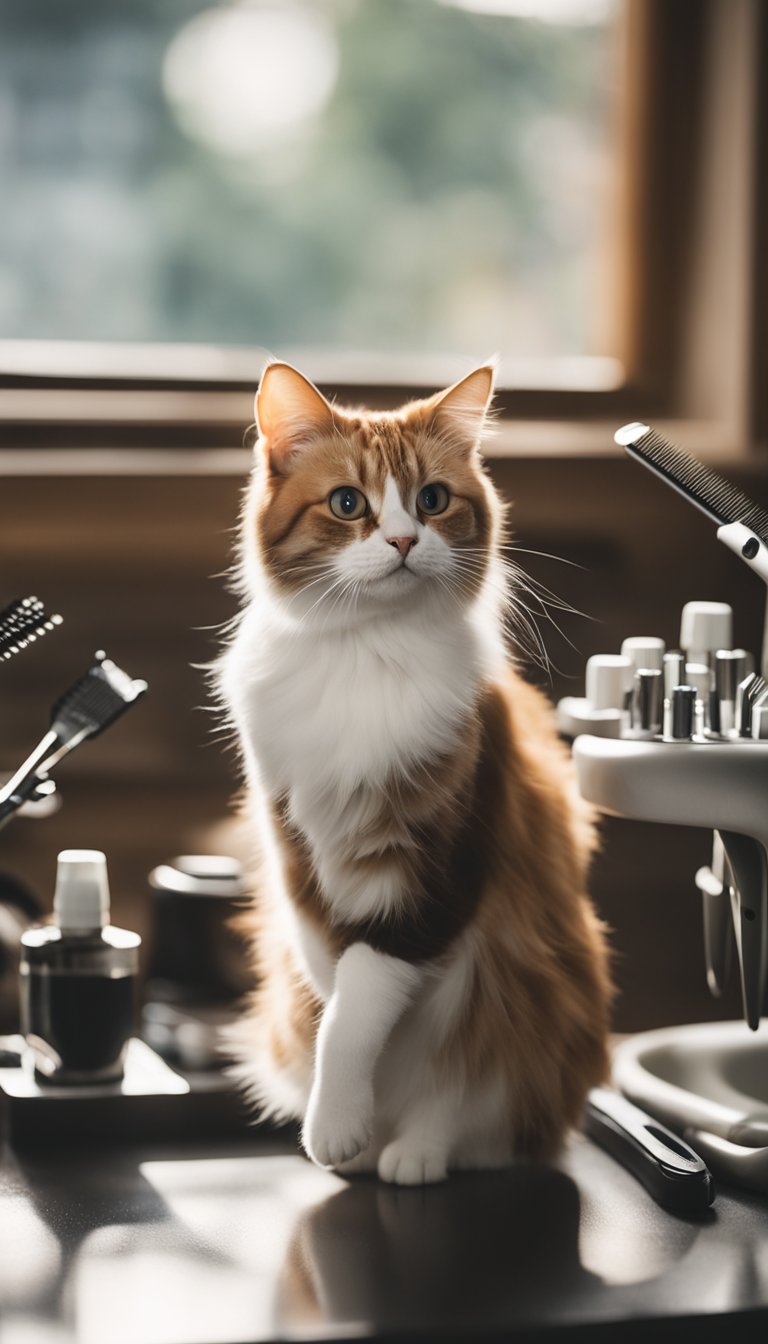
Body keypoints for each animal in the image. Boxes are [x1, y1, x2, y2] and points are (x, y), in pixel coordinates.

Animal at [217, 360, 613, 1188]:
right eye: (347, 504)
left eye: (432, 499)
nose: (402, 540)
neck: (365, 654)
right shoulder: (290, 837)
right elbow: (330, 983)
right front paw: (347, 1119)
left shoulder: (438, 863)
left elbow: (357, 1007)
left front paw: (336, 1124)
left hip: (523, 1013)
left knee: (470, 1113)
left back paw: (412, 1153)